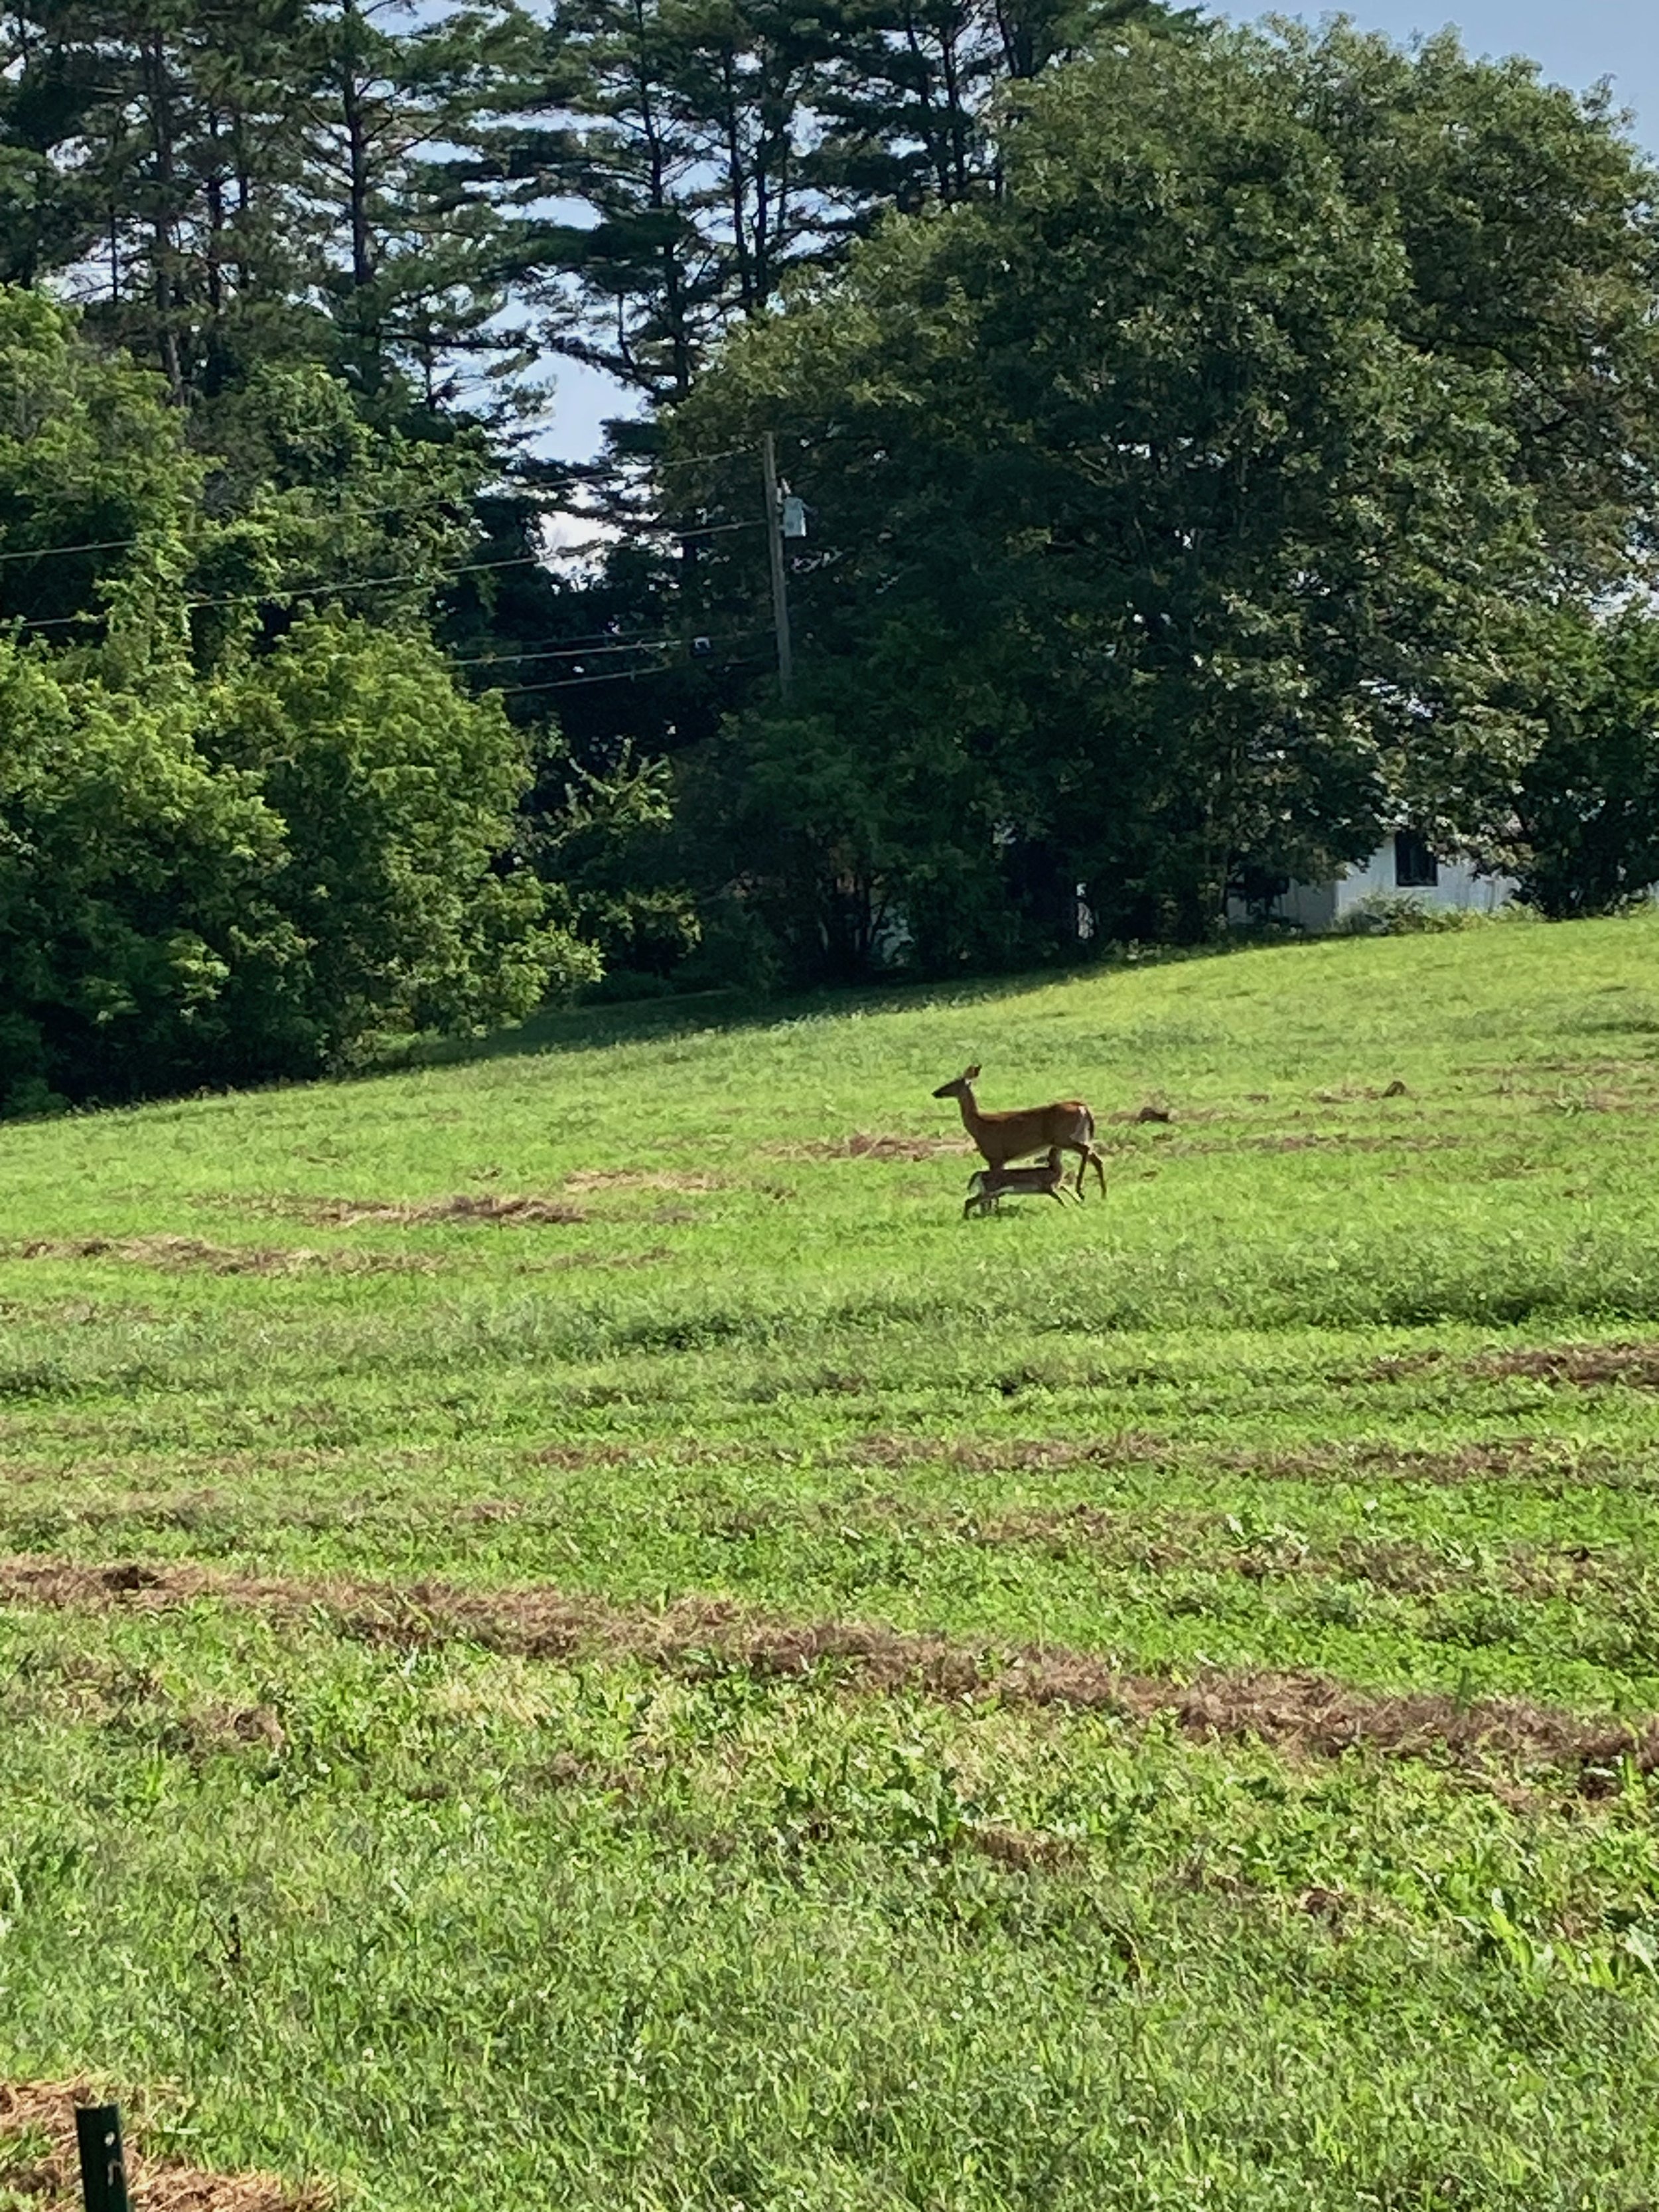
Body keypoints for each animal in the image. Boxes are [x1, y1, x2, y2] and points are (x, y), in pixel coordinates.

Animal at [932, 1064, 1106, 1198]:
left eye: (952, 1082)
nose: (935, 1092)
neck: (979, 1125)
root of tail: (1083, 1107)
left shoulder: (995, 1156)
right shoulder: (999, 1160)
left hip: (1065, 1137)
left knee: (1088, 1152)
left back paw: (1081, 1190)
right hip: (1077, 1137)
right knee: (1096, 1158)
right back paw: (1103, 1194)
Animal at [963, 1151, 1071, 1218]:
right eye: (1053, 1152)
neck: (1053, 1171)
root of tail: (981, 1173)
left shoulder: (1054, 1187)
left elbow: (1065, 1189)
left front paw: (1074, 1203)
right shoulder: (1046, 1187)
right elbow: (1059, 1198)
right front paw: (1067, 1208)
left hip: (993, 1193)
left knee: (980, 1203)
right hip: (991, 1191)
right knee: (970, 1201)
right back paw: (966, 1218)